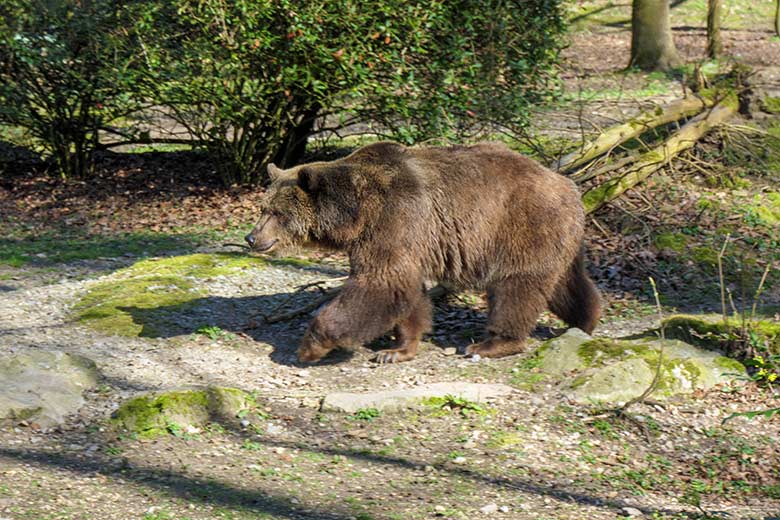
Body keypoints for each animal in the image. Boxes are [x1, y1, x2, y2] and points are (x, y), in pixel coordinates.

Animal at [247, 140, 600, 364]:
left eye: (276, 213)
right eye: (263, 208)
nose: (252, 238)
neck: (354, 213)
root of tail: (569, 185)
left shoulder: (395, 218)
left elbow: (380, 283)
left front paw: (310, 346)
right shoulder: (399, 239)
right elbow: (405, 290)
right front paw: (397, 350)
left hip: (522, 226)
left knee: (516, 287)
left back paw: (491, 343)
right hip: (558, 239)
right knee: (565, 285)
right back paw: (587, 319)